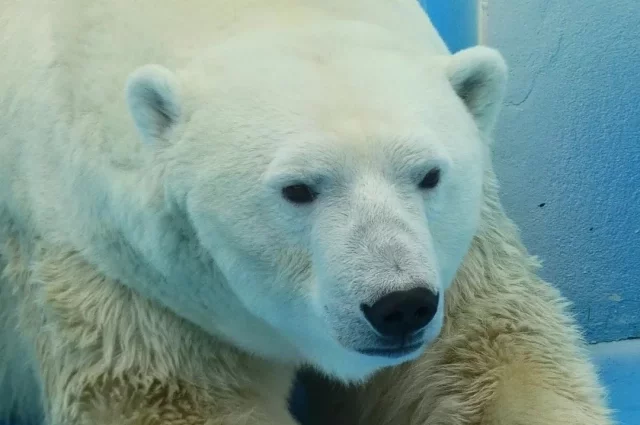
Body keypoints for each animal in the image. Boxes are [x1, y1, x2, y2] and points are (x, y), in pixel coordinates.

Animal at [0, 0, 613, 424]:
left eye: (429, 175)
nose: (400, 306)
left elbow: (488, 356)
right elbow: (173, 399)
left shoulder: (455, 256)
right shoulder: (123, 272)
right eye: (298, 189)